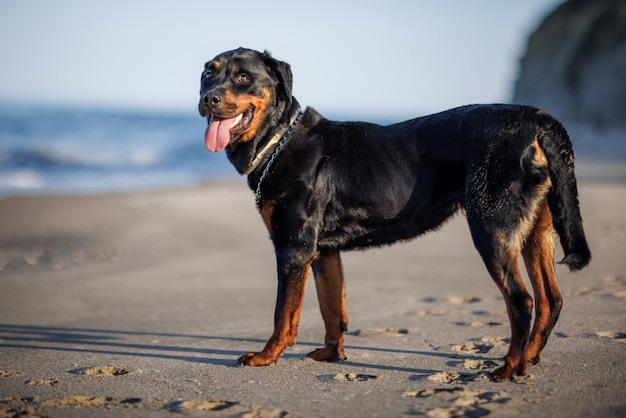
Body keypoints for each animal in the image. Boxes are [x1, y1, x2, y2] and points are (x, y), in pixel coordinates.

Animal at [197, 47, 588, 380]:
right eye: (207, 74)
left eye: (243, 77)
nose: (208, 98)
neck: (278, 141)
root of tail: (537, 119)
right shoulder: (323, 252)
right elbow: (331, 307)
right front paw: (331, 354)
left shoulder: (293, 248)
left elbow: (284, 313)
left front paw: (266, 356)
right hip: (535, 228)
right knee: (550, 299)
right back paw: (529, 359)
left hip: (491, 226)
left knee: (521, 300)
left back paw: (508, 368)